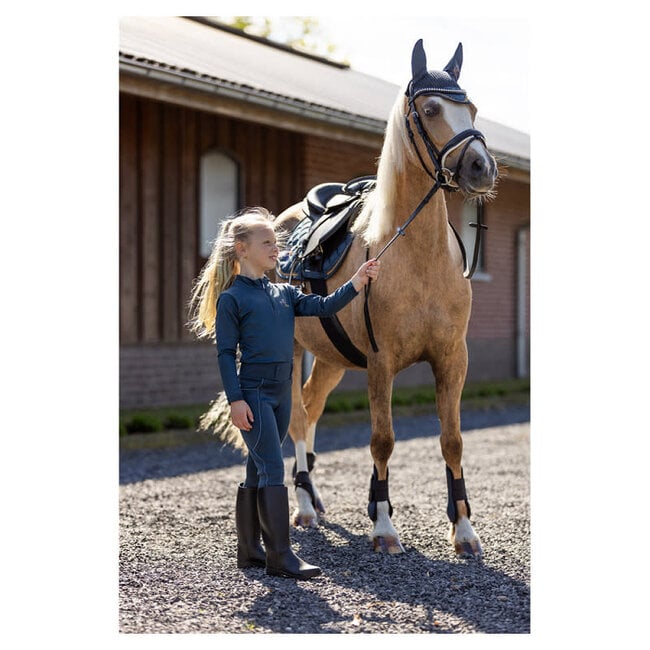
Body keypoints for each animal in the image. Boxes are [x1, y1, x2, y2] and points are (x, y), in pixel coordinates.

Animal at [202, 40, 498, 558]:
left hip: (331, 359)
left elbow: (452, 440)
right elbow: (382, 440)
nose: (482, 167)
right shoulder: (381, 362)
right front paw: (383, 525)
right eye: (430, 108)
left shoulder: (451, 359)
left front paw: (463, 531)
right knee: (297, 418)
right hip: (291, 352)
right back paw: (302, 506)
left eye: (473, 108)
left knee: (311, 408)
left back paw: (313, 496)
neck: (416, 255)